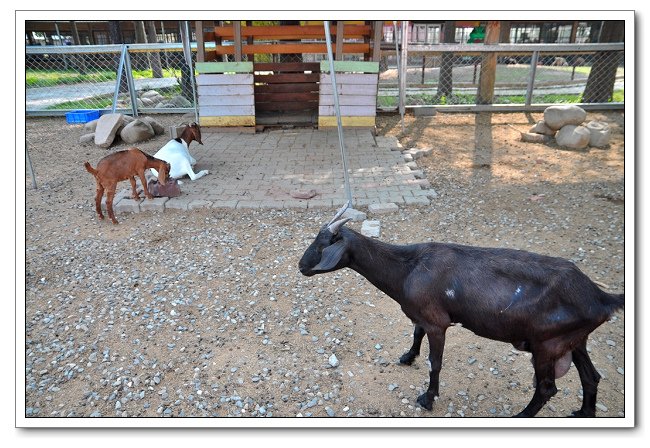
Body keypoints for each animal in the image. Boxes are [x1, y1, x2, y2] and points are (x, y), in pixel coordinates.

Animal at [298, 202, 624, 416]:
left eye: (324, 245)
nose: (301, 266)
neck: (407, 269)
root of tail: (601, 297)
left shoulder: (437, 322)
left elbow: (435, 363)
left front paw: (428, 398)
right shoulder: (422, 315)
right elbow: (415, 334)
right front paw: (407, 357)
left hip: (546, 344)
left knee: (546, 388)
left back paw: (521, 416)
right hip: (573, 339)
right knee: (591, 377)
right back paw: (583, 413)